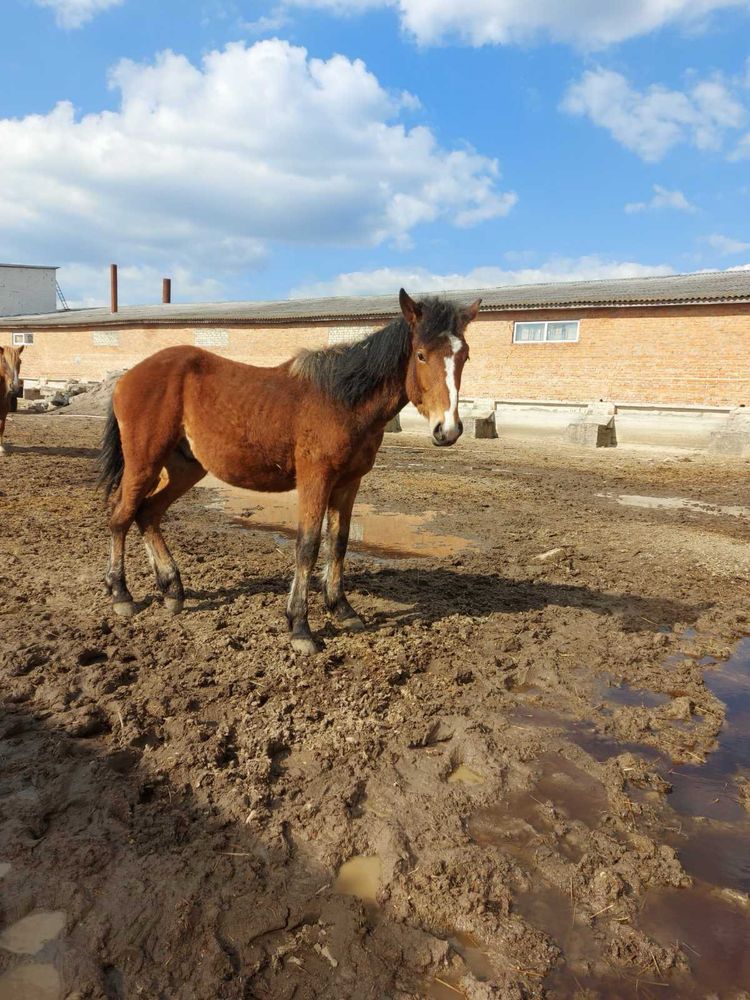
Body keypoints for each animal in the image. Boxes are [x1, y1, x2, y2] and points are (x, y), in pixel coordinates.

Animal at [98, 290, 482, 652]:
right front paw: (300, 627)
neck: (341, 401)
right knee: (121, 515)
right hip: (144, 463)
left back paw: (173, 591)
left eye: (464, 355)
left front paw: (342, 609)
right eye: (421, 354)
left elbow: (339, 542)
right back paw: (122, 595)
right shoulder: (316, 479)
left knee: (148, 513)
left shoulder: (348, 483)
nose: (448, 430)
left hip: (183, 468)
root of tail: (126, 378)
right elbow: (308, 545)